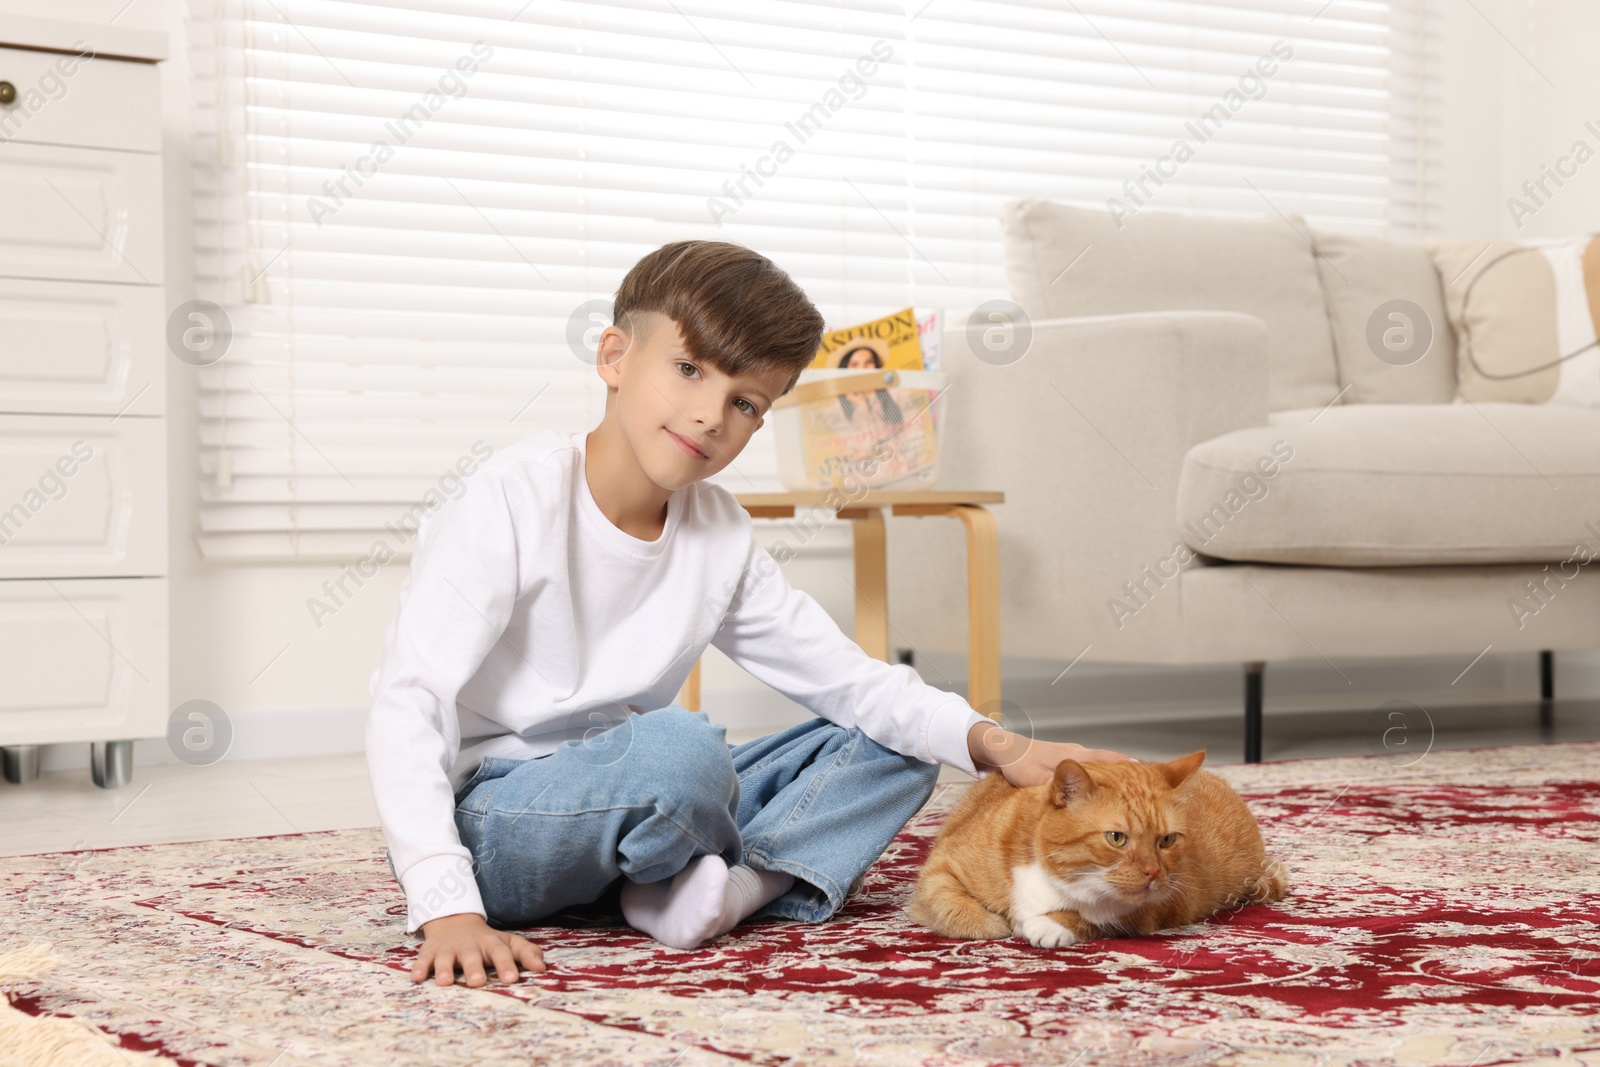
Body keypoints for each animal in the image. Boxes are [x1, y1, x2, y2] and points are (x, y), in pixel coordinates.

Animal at [915, 748, 1286, 947]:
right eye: (1116, 838)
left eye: (1166, 840)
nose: (1153, 873)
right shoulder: (939, 869)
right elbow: (953, 904)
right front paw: (995, 923)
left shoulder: (1164, 903)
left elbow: (1094, 918)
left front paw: (1050, 924)